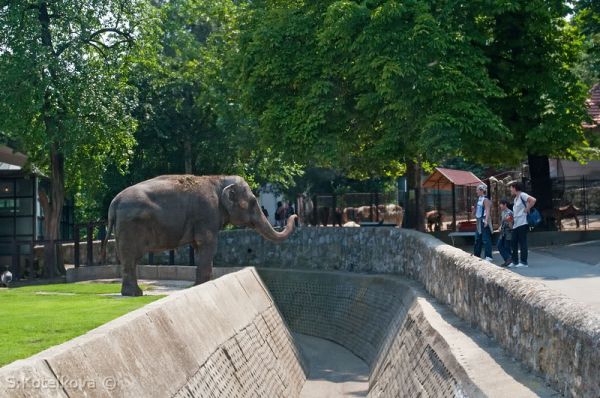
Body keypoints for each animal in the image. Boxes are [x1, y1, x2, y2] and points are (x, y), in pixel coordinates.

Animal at [101, 175, 298, 296]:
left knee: (129, 259)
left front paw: (200, 285)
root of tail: (114, 203)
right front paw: (202, 286)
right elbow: (208, 243)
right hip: (130, 226)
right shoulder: (207, 212)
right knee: (131, 258)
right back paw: (134, 294)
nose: (295, 215)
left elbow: (198, 246)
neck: (218, 178)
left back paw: (133, 293)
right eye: (252, 202)